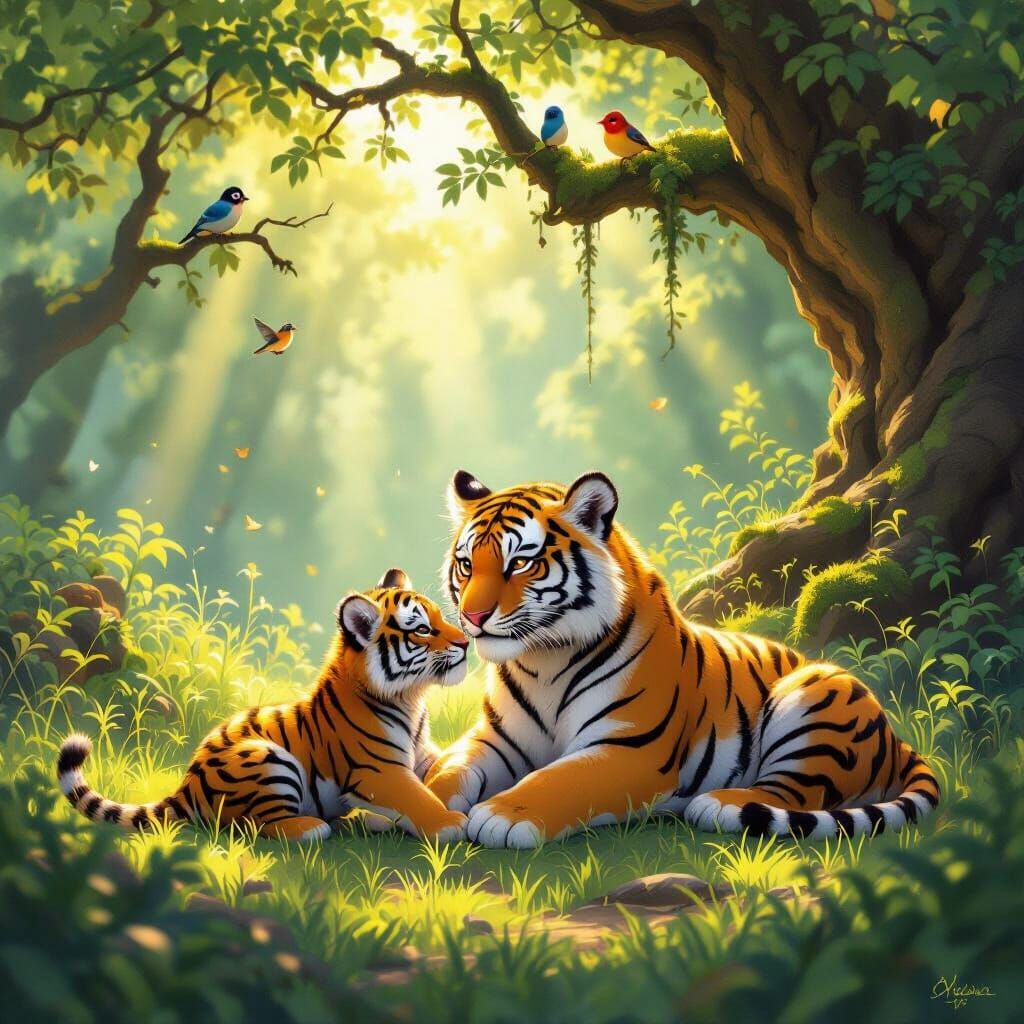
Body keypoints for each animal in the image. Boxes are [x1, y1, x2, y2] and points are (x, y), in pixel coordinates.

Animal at [58, 569, 470, 843]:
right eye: (421, 629)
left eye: (439, 617)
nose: (467, 642)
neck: (411, 698)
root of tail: (185, 787)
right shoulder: (379, 770)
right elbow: (416, 796)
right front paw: (449, 822)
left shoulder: (420, 754)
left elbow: (445, 768)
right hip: (269, 760)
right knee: (256, 825)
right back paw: (315, 827)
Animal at [425, 470, 940, 849]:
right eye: (467, 564)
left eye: (520, 563)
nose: (472, 616)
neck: (542, 660)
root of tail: (898, 740)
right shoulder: (497, 740)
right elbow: (450, 767)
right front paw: (428, 805)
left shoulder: (629, 748)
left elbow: (558, 779)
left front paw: (502, 814)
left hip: (815, 697)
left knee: (792, 792)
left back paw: (716, 804)